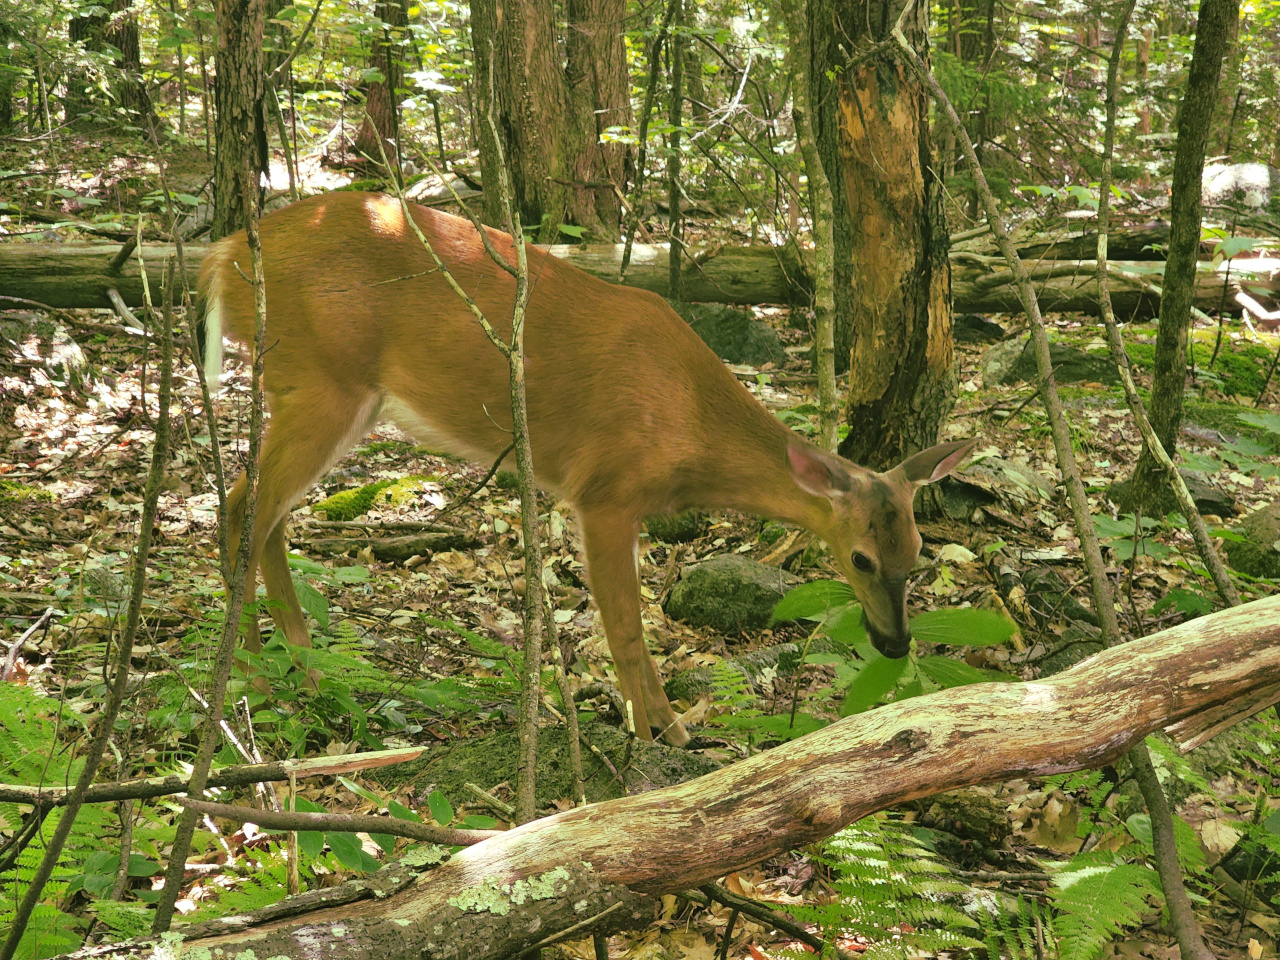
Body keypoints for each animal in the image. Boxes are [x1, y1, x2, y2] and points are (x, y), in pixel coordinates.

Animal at [199, 192, 972, 752]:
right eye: (861, 557)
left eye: (919, 553)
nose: (895, 642)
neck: (688, 419)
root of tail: (223, 254)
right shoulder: (604, 491)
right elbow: (626, 629)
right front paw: (667, 733)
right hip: (321, 379)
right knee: (240, 506)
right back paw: (249, 679)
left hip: (329, 394)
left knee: (269, 514)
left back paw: (304, 666)